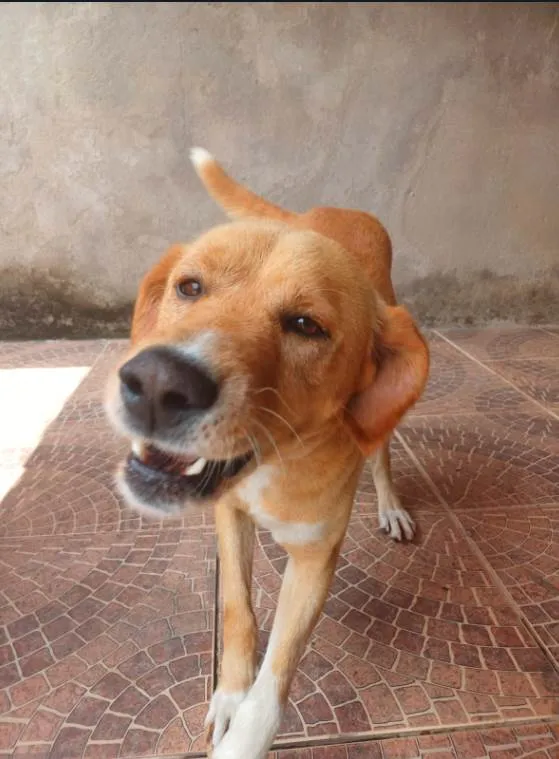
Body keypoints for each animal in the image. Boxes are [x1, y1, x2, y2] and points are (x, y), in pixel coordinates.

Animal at [104, 150, 428, 759]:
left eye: (306, 325)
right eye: (189, 287)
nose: (156, 384)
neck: (274, 464)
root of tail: (336, 211)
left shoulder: (315, 559)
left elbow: (278, 673)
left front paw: (244, 734)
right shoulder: (228, 514)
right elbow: (237, 609)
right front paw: (229, 695)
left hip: (382, 418)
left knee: (381, 456)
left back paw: (391, 504)